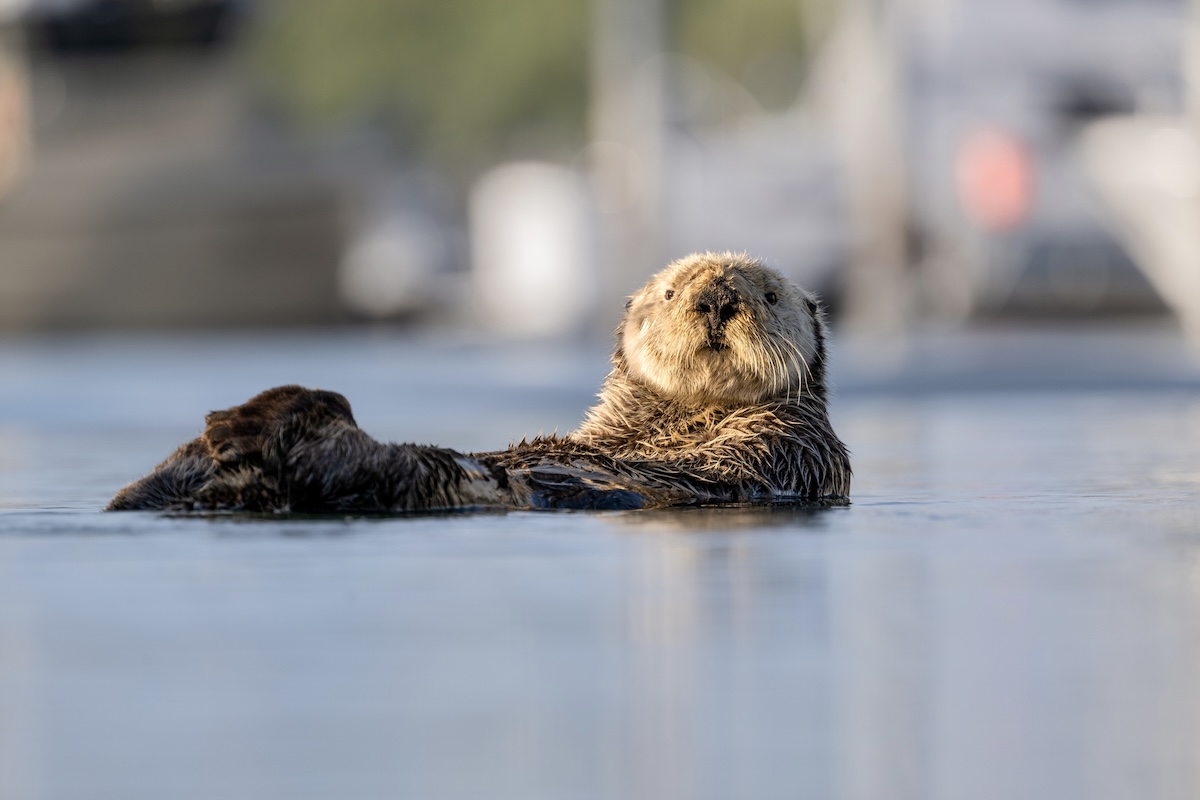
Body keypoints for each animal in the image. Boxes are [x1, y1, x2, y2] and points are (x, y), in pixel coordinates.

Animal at [107, 252, 851, 513]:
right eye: (670, 291)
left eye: (770, 293)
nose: (717, 298)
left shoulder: (788, 446)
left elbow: (720, 466)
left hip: (399, 473)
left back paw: (259, 420)